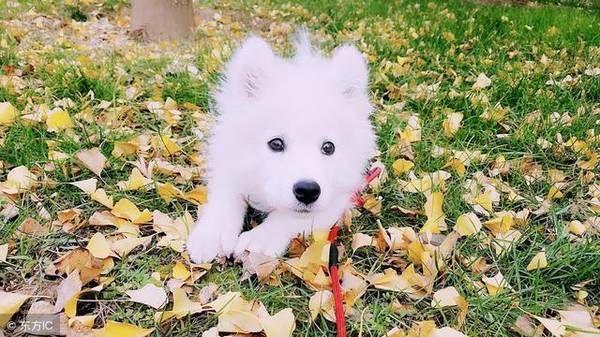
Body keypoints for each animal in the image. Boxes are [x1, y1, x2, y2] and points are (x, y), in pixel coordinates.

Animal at [188, 31, 376, 262]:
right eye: (276, 143)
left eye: (328, 147)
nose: (308, 191)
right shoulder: (230, 163)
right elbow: (226, 198)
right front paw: (211, 235)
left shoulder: (337, 197)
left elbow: (291, 217)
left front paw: (260, 240)